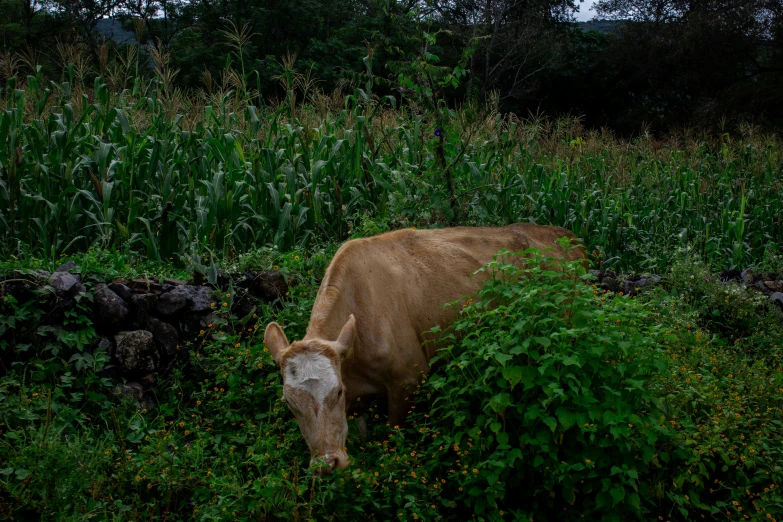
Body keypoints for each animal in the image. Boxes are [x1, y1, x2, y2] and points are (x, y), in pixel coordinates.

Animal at [264, 221, 588, 474]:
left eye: (337, 392)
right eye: (290, 404)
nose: (327, 465)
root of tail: (565, 235)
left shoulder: (408, 380)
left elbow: (394, 436)